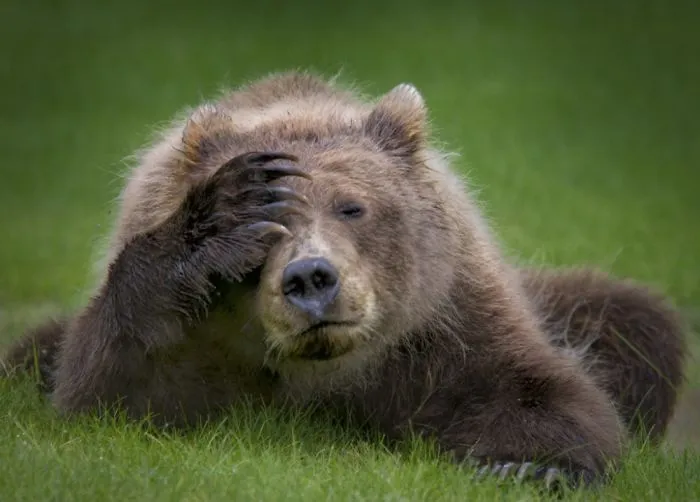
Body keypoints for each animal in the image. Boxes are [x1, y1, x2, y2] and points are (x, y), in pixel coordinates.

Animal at [2, 71, 687, 491]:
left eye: (352, 207)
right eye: (271, 228)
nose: (311, 277)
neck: (321, 371)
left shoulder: (444, 323)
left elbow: (532, 390)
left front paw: (530, 467)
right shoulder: (197, 348)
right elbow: (110, 389)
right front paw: (221, 215)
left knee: (635, 322)